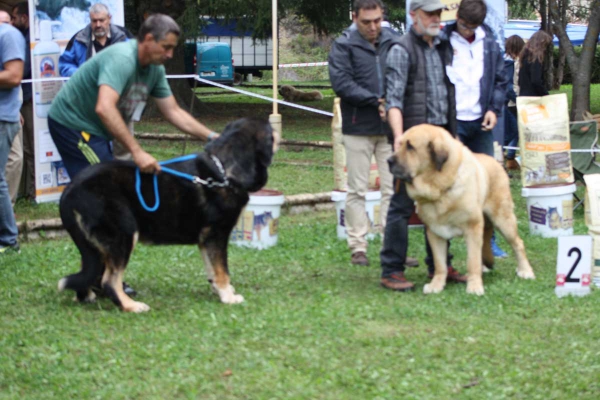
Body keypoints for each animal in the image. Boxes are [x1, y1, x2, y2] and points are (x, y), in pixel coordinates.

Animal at [56, 117, 276, 310]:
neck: (223, 169)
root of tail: (70, 189)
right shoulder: (216, 234)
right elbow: (222, 270)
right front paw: (228, 297)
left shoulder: (205, 239)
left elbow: (212, 269)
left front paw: (220, 290)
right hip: (123, 235)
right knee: (109, 281)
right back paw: (131, 306)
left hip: (94, 245)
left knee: (88, 271)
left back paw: (86, 297)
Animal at [390, 123, 536, 296]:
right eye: (399, 144)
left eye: (410, 146)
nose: (388, 161)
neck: (440, 188)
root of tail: (496, 162)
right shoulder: (434, 232)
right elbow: (440, 264)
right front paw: (436, 285)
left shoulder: (472, 228)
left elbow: (472, 261)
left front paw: (474, 286)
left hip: (503, 219)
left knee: (518, 244)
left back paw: (525, 271)